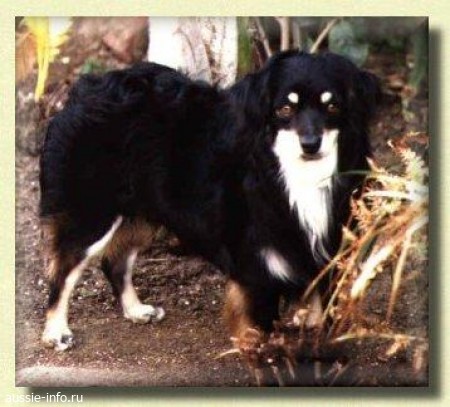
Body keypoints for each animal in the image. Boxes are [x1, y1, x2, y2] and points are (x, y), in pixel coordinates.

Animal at [39, 50, 380, 351]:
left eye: (332, 106)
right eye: (285, 109)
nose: (310, 144)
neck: (289, 175)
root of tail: (85, 88)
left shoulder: (324, 252)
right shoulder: (256, 269)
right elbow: (261, 334)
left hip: (143, 212)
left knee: (114, 262)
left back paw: (135, 310)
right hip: (93, 215)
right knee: (63, 272)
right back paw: (56, 332)